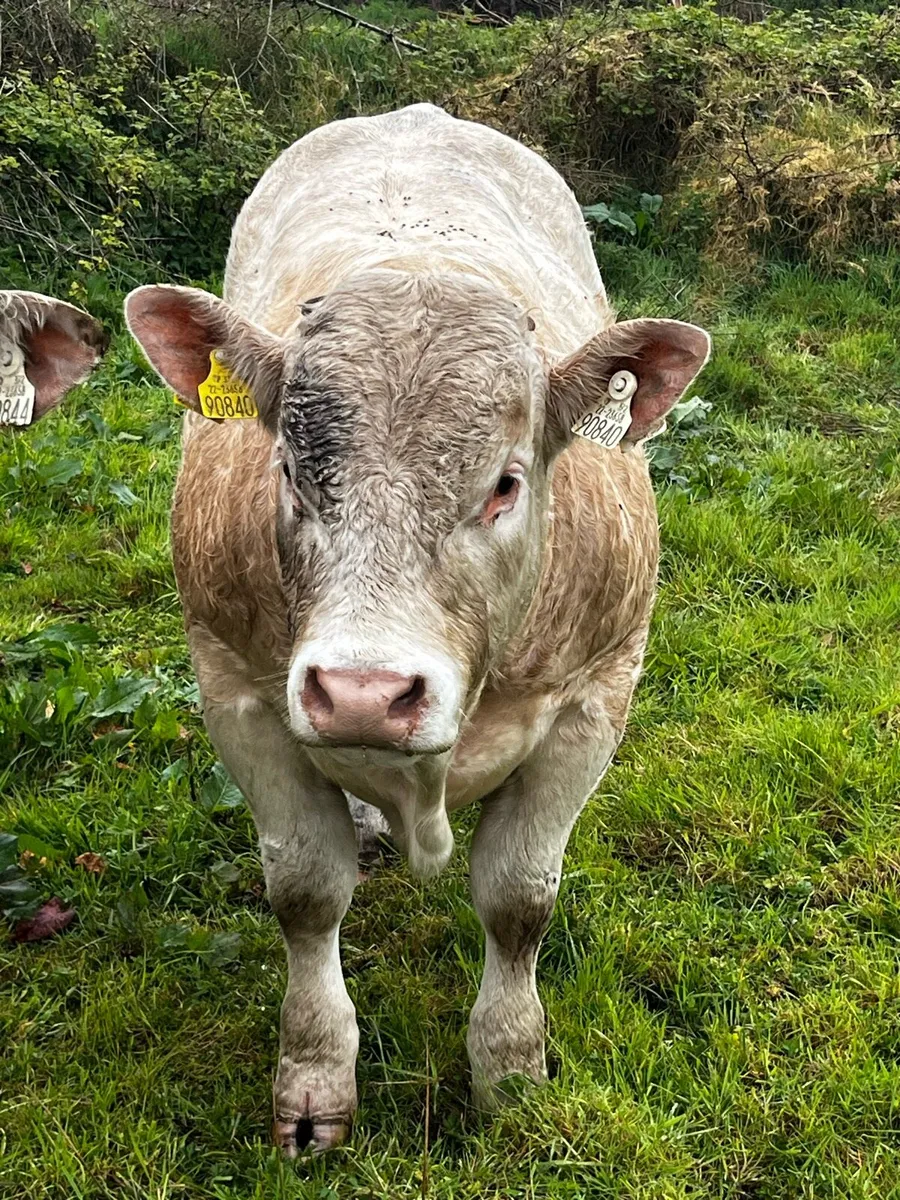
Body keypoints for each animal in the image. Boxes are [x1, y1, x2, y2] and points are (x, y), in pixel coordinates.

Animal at [124, 103, 710, 1154]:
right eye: (288, 471)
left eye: (506, 483)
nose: (364, 692)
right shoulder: (234, 685)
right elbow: (305, 891)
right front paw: (315, 1082)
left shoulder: (598, 692)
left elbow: (518, 898)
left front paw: (510, 1069)